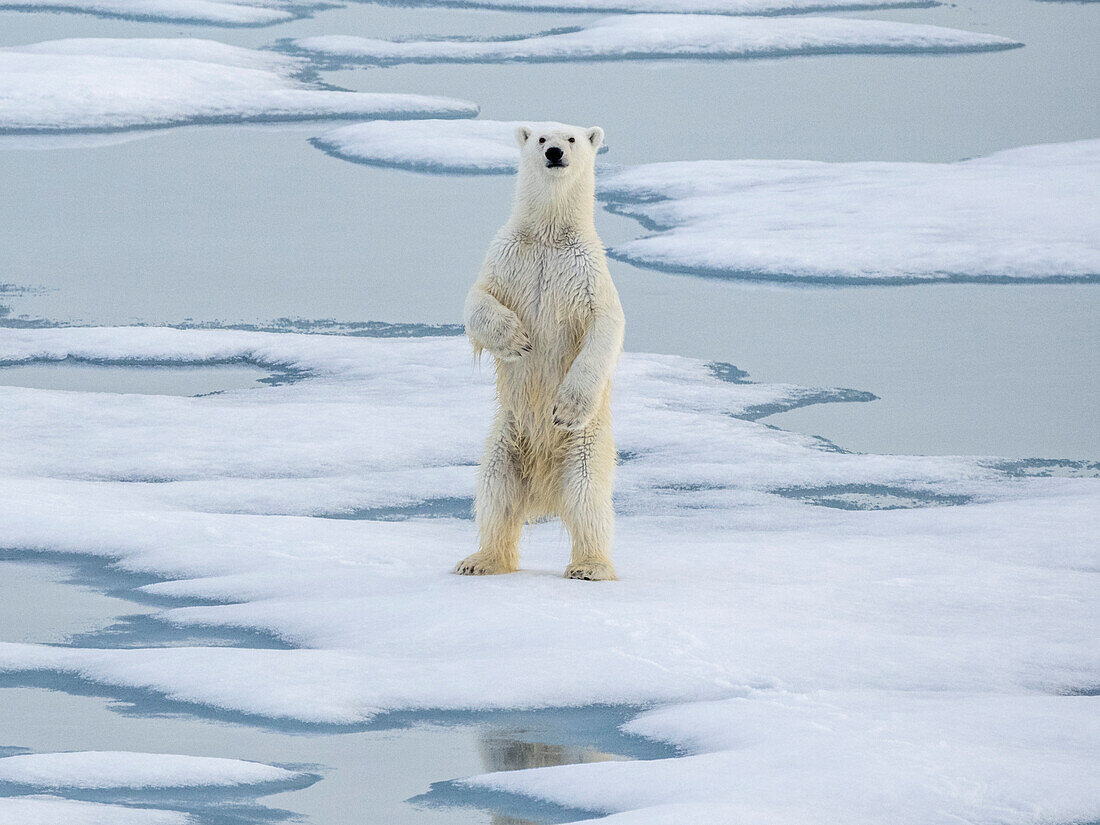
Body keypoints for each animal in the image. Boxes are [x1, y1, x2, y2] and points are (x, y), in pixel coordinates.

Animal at [455, 125, 629, 585]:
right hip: (506, 437)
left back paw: (590, 566)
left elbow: (605, 326)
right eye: (539, 138)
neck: (549, 236)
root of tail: (544, 493)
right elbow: (477, 301)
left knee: (588, 498)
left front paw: (564, 407)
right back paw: (480, 560)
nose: (553, 153)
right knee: (495, 491)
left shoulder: (587, 271)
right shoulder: (507, 256)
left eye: (571, 139)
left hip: (586, 446)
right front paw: (517, 340)